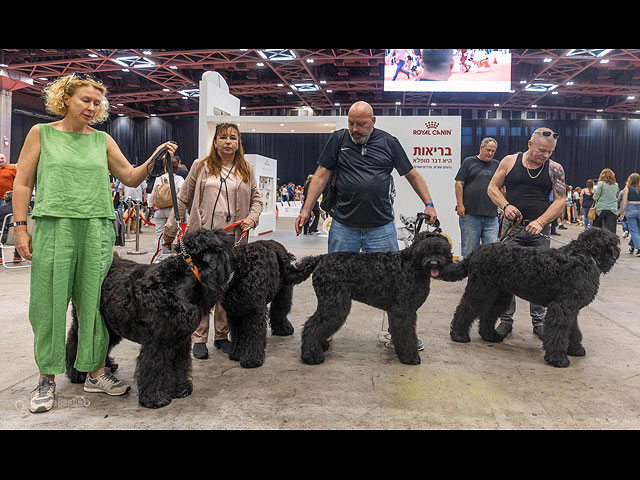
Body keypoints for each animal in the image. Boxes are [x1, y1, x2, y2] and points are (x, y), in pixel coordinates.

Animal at [65, 230, 235, 408]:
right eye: (225, 245)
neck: (176, 283)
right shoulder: (158, 343)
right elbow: (155, 369)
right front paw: (155, 398)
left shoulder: (180, 341)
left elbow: (179, 365)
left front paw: (181, 389)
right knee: (76, 342)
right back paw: (78, 373)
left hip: (111, 326)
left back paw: (108, 365)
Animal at [298, 232, 452, 364]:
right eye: (424, 249)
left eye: (442, 250)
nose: (433, 263)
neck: (412, 264)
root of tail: (319, 259)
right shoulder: (403, 310)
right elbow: (406, 334)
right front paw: (410, 358)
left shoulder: (403, 311)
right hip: (333, 304)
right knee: (313, 326)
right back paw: (312, 356)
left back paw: (321, 345)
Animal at [440, 228, 620, 368]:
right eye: (614, 243)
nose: (617, 252)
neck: (582, 256)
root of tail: (476, 251)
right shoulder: (562, 307)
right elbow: (559, 332)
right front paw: (558, 359)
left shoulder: (572, 309)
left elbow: (573, 330)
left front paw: (575, 349)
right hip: (480, 291)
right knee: (465, 309)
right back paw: (458, 335)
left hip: (500, 295)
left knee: (488, 316)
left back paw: (491, 336)